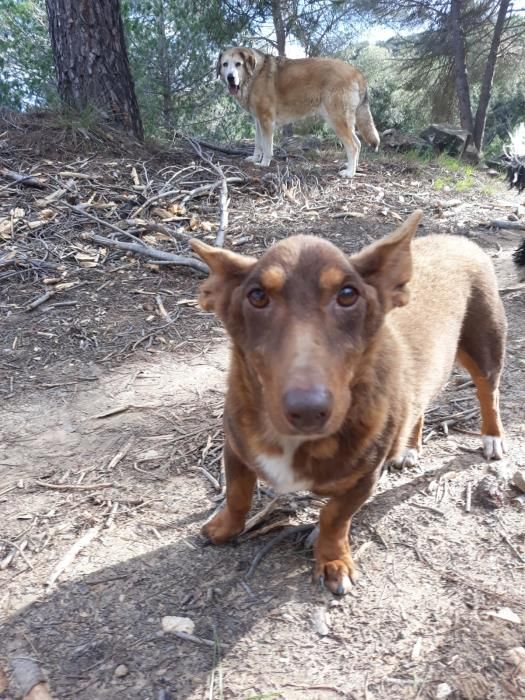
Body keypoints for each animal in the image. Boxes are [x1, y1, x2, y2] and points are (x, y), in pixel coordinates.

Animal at [190, 211, 506, 592]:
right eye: (257, 296)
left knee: (489, 394)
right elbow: (238, 494)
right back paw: (409, 447)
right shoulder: (236, 447)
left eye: (347, 294)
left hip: (485, 350)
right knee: (420, 405)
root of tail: (458, 239)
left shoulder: (363, 479)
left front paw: (332, 560)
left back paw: (492, 438)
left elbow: (333, 518)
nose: (308, 411)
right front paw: (224, 528)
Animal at [215, 47, 378, 178]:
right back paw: (353, 168)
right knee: (358, 143)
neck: (254, 74)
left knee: (353, 146)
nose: (230, 77)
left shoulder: (266, 120)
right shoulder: (258, 121)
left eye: (238, 64)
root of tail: (356, 72)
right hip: (345, 122)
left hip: (337, 120)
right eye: (225, 64)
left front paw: (264, 163)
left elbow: (267, 146)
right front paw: (255, 158)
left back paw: (349, 173)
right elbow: (258, 143)